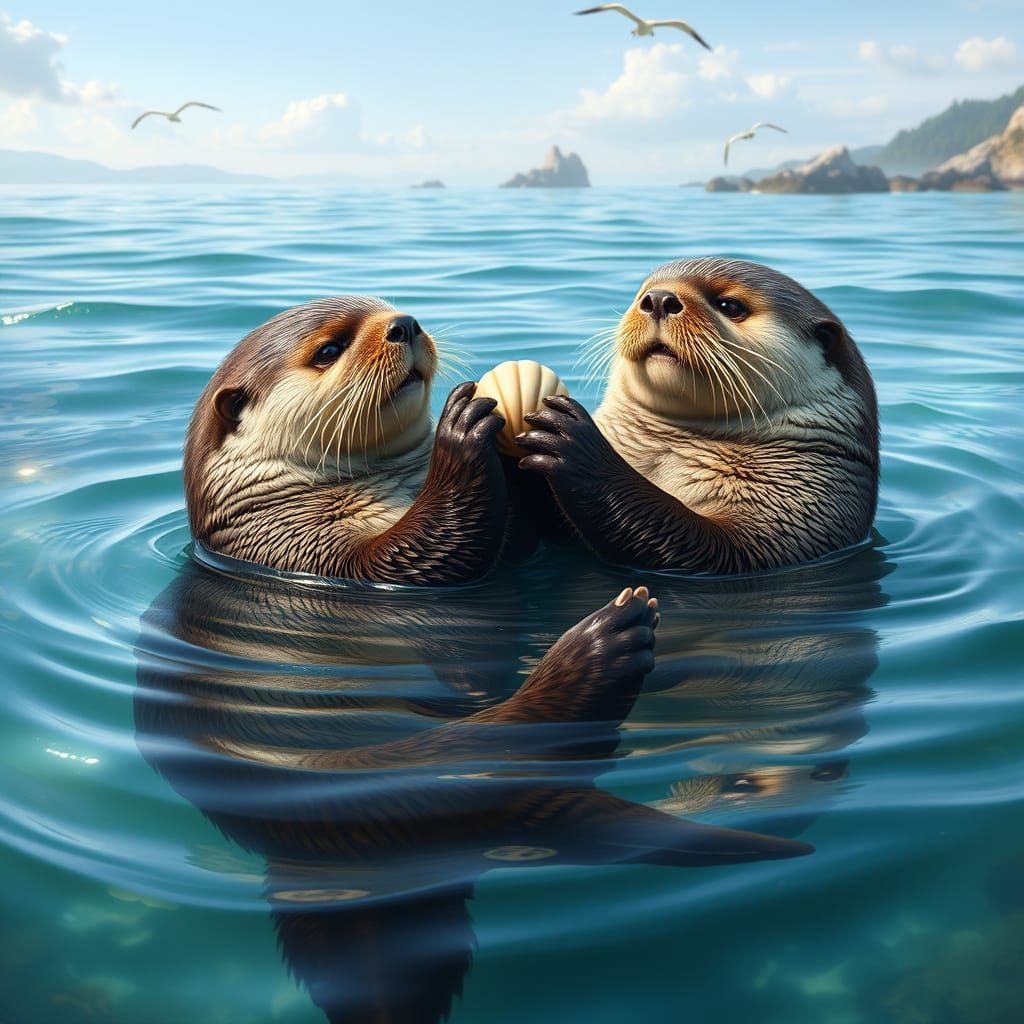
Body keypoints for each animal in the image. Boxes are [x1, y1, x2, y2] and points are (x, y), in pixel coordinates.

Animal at [516, 258, 879, 573]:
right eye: (641, 292)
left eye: (730, 306)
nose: (658, 298)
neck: (664, 451)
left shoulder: (804, 506)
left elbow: (714, 549)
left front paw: (576, 443)